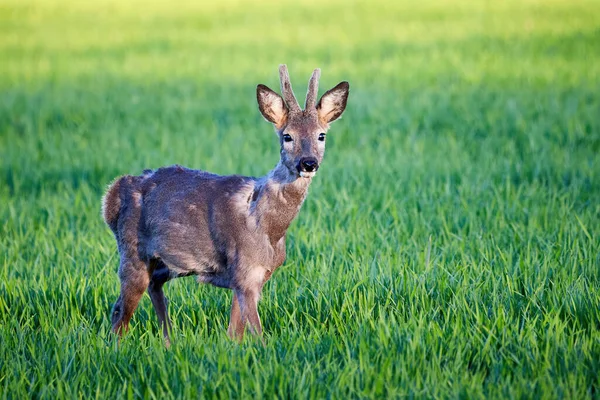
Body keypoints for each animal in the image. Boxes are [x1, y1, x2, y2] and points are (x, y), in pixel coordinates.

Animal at [101, 65, 350, 344]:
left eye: (321, 135)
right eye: (287, 136)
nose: (308, 163)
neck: (267, 226)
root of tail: (112, 195)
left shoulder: (255, 276)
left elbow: (234, 333)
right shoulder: (244, 270)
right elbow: (256, 333)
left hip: (167, 262)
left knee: (150, 288)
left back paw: (169, 340)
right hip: (133, 251)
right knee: (120, 313)